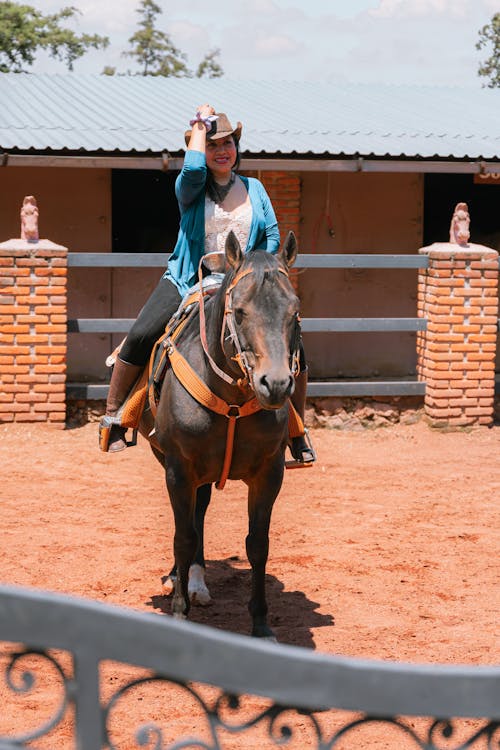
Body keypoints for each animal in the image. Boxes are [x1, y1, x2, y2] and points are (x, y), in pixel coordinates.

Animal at [139, 234, 298, 640]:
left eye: (294, 312)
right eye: (239, 312)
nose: (275, 383)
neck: (231, 400)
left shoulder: (270, 473)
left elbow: (258, 544)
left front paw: (261, 624)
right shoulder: (179, 470)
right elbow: (183, 537)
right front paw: (180, 611)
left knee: (200, 511)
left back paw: (196, 581)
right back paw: (180, 580)